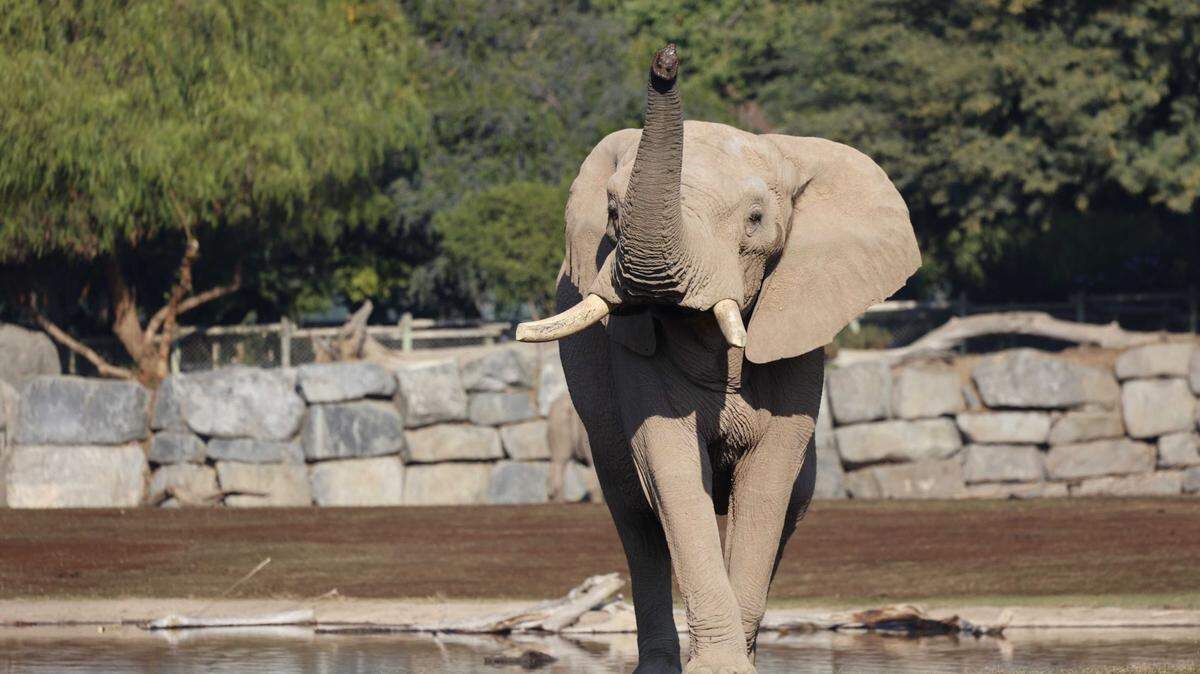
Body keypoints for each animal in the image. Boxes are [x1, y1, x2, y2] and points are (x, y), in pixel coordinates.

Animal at [516, 44, 919, 673]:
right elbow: (670, 467)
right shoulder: (634, 349)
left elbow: (770, 477)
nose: (665, 61)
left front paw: (735, 666)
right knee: (634, 513)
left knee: (793, 501)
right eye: (612, 213)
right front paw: (718, 665)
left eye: (756, 219)